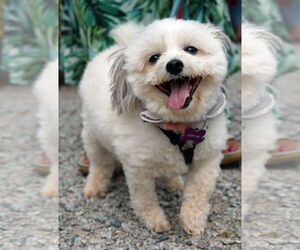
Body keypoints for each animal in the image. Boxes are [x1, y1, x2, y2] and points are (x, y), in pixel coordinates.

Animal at [78, 19, 229, 234]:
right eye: (154, 58)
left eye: (191, 49)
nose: (174, 64)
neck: (178, 125)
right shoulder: (137, 170)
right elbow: (145, 200)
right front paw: (156, 222)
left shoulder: (206, 161)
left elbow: (198, 193)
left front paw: (193, 221)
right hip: (92, 137)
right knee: (100, 164)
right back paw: (94, 187)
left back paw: (174, 183)